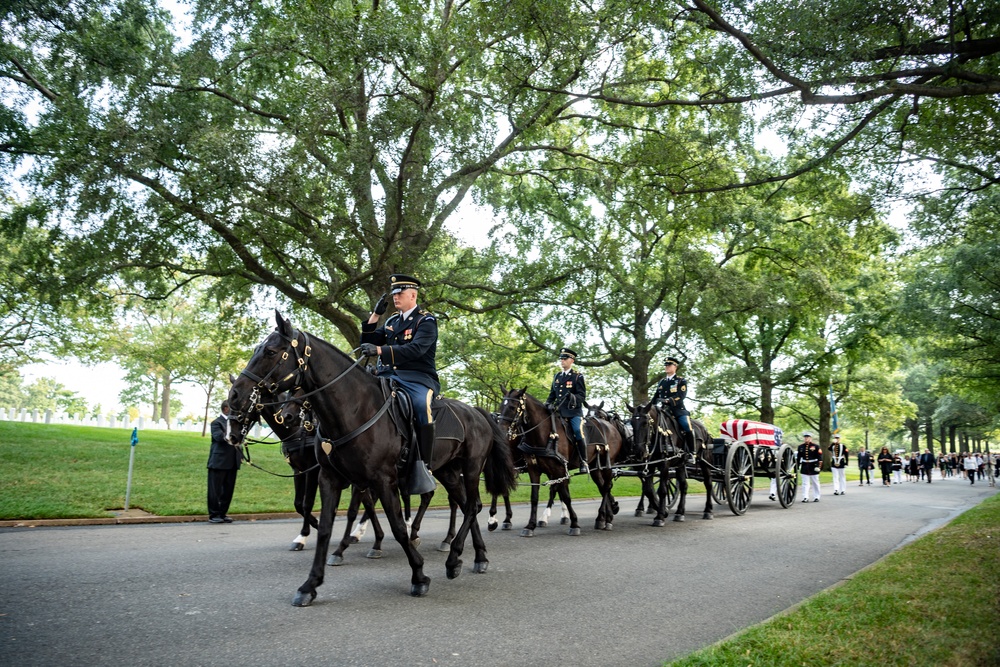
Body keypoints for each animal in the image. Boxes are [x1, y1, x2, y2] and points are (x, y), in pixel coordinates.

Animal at [227, 314, 516, 604]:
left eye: (270, 351)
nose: (235, 396)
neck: (354, 410)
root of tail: (477, 412)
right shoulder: (329, 478)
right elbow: (326, 526)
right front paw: (310, 583)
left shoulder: (381, 479)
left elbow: (396, 526)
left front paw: (418, 575)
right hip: (447, 472)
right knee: (469, 506)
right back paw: (475, 556)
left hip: (470, 468)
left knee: (471, 505)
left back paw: (454, 553)